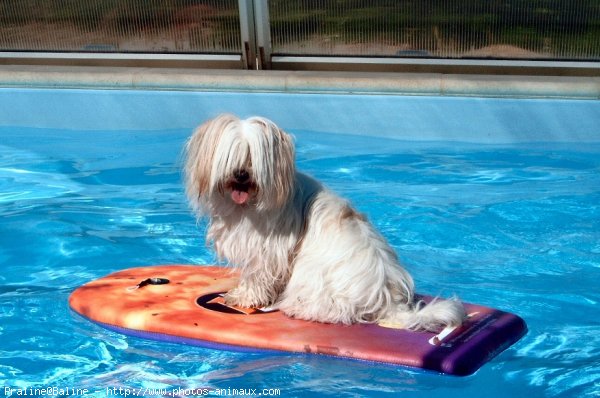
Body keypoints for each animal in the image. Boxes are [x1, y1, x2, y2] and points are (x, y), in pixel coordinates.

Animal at [185, 113, 466, 332]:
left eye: (253, 156)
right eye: (232, 155)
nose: (242, 175)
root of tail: (388, 300)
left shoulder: (267, 251)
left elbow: (258, 277)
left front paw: (244, 297)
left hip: (313, 273)